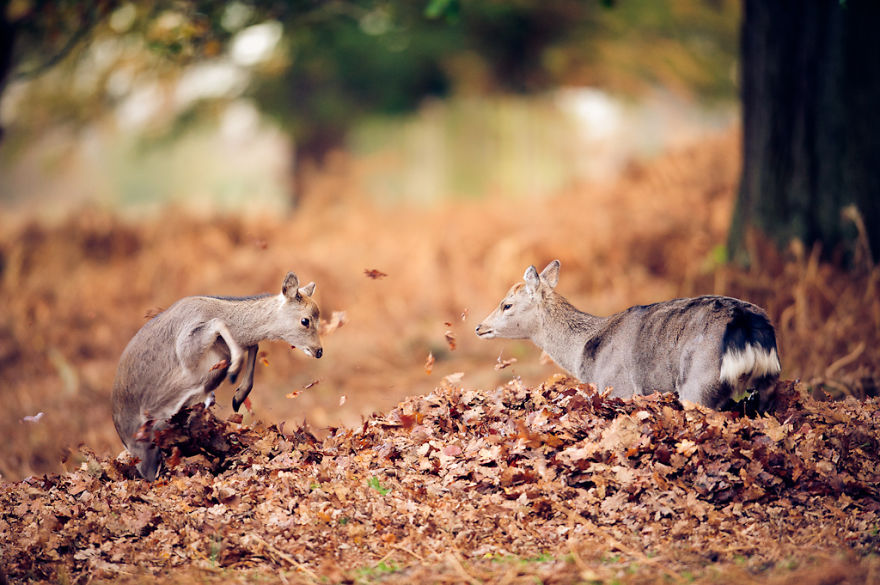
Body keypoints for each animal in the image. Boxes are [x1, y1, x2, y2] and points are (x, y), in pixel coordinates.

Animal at [112, 271, 323, 480]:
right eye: (305, 320)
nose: (319, 351)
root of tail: (122, 435)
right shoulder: (186, 350)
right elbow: (218, 323)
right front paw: (234, 371)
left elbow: (254, 345)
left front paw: (237, 396)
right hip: (141, 448)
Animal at [475, 260, 781, 412]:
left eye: (506, 305)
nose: (479, 326)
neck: (584, 351)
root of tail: (746, 324)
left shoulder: (618, 385)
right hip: (768, 383)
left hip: (699, 379)